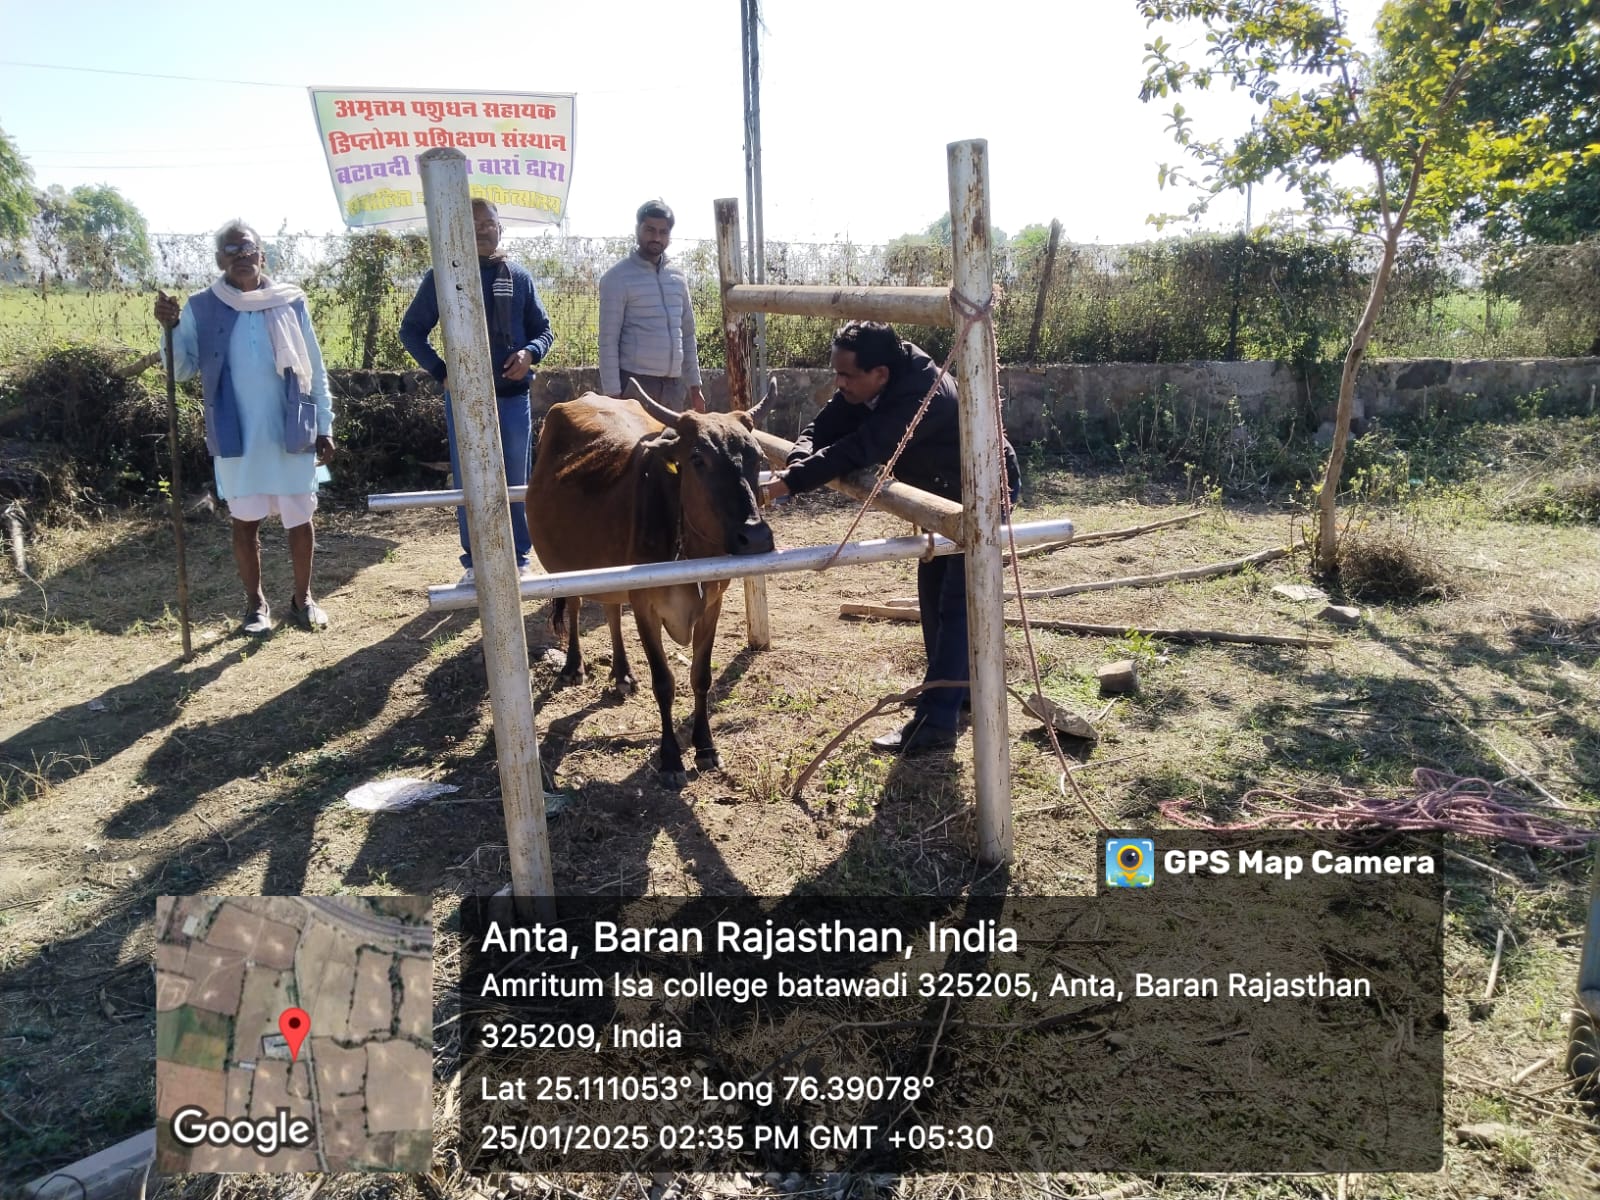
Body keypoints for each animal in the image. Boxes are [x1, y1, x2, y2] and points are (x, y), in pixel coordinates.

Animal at [526, 385, 775, 787]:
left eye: (757, 457)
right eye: (697, 458)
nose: (754, 537)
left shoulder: (713, 604)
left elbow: (701, 676)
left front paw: (705, 748)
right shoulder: (646, 607)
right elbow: (664, 682)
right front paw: (671, 757)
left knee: (611, 608)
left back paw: (623, 673)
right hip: (568, 569)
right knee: (577, 607)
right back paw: (574, 666)